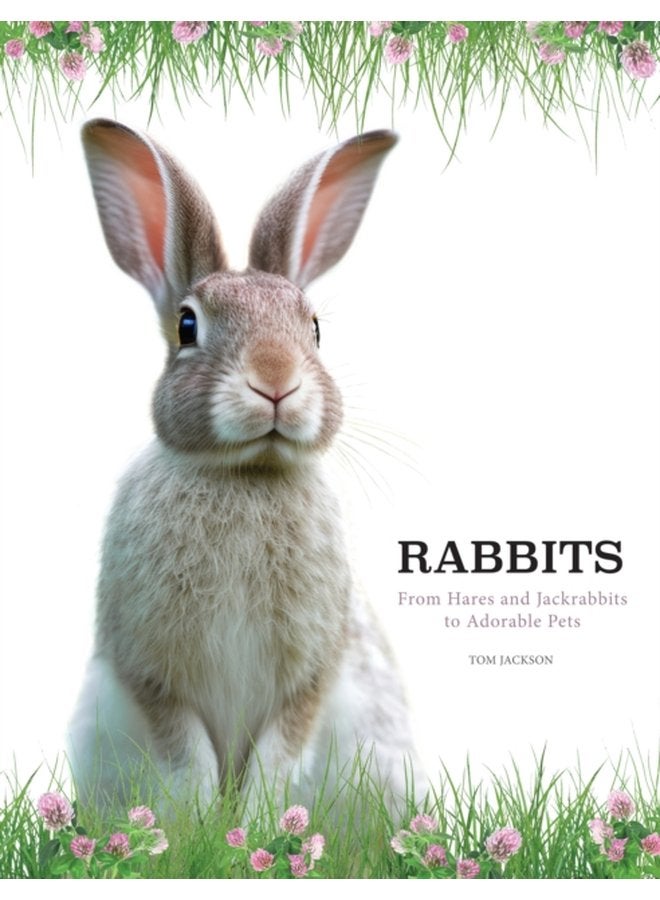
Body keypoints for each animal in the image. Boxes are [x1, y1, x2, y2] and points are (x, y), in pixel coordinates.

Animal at [68, 118, 423, 815]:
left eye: (314, 329)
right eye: (187, 325)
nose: (276, 381)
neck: (246, 474)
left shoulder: (311, 675)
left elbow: (279, 757)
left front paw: (257, 826)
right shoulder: (150, 673)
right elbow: (188, 758)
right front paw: (204, 825)